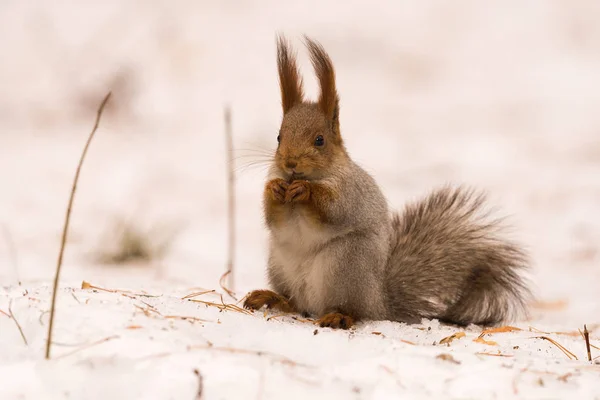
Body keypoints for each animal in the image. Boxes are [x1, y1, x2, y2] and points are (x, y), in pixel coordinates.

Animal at [241, 35, 532, 328]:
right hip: (279, 265)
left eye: (319, 140)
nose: (290, 163)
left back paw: (339, 315)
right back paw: (273, 298)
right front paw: (273, 189)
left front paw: (305, 190)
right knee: (295, 303)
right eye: (279, 137)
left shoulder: (351, 192)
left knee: (351, 310)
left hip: (347, 263)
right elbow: (274, 218)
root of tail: (379, 302)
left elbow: (333, 210)